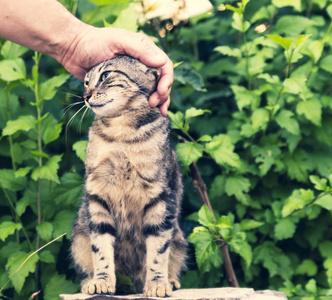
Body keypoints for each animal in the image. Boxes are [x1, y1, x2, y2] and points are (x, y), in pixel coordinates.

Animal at [70, 55, 187, 296]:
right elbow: (101, 248)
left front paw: (157, 284)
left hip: (179, 240)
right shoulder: (97, 194)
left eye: (105, 76)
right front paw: (102, 281)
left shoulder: (161, 198)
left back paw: (169, 281)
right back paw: (89, 282)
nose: (85, 95)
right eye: (86, 82)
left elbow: (158, 251)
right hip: (78, 237)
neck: (120, 135)